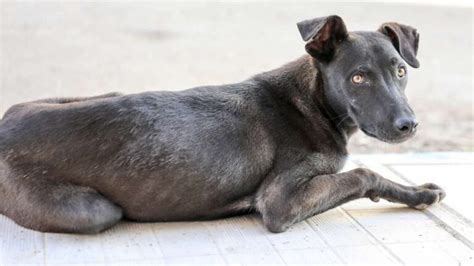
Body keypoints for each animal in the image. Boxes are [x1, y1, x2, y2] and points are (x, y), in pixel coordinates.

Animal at [0, 15, 444, 234]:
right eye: (358, 77)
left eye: (400, 70)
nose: (409, 125)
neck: (311, 102)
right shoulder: (282, 201)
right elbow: (364, 175)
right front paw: (418, 194)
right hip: (92, 210)